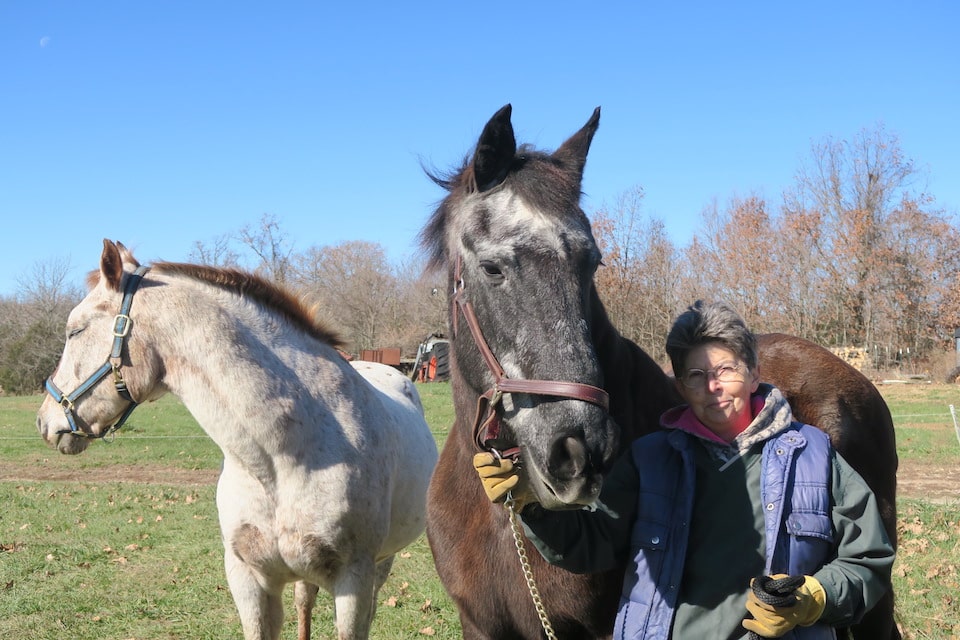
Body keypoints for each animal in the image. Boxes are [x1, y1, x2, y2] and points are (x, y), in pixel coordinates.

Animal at [36, 240, 438, 640]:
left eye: (75, 331)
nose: (44, 421)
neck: (282, 461)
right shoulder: (248, 579)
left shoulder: (353, 581)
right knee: (304, 603)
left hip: (381, 565)